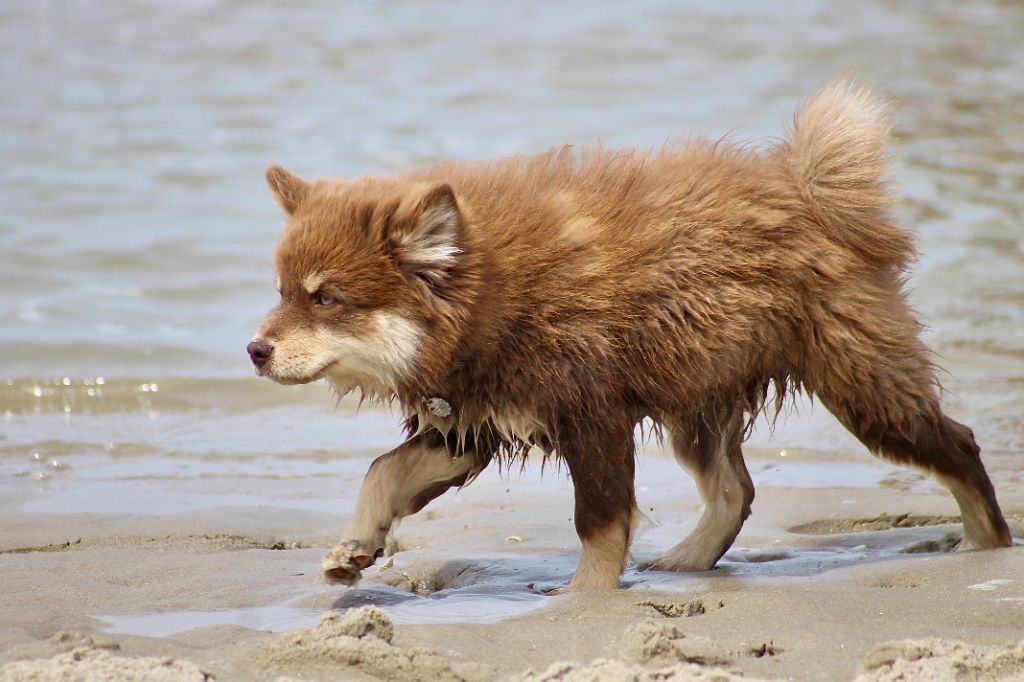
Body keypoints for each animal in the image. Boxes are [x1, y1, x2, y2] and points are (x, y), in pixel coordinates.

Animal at [249, 78, 1015, 589]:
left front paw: (583, 601)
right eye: (283, 291)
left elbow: (600, 524)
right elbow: (384, 471)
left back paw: (988, 544)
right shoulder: (473, 423)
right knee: (734, 492)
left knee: (958, 446)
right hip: (699, 397)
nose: (255, 351)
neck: (490, 299)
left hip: (863, 388)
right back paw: (686, 561)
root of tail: (805, 188)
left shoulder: (592, 419)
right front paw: (355, 548)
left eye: (327, 298)